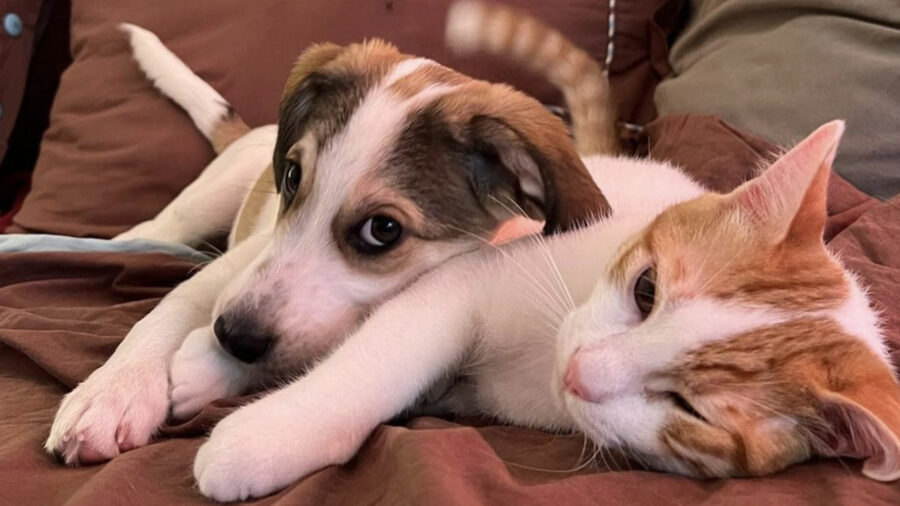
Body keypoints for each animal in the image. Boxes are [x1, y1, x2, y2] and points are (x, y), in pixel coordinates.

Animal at [45, 12, 616, 466]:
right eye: (293, 176)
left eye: (383, 230)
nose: (233, 336)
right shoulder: (236, 267)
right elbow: (166, 310)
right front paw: (112, 392)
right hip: (197, 207)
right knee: (147, 234)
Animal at [192, 0, 900, 500]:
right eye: (647, 289)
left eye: (689, 409)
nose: (579, 371)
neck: (538, 352)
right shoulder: (464, 284)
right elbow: (371, 365)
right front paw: (262, 435)